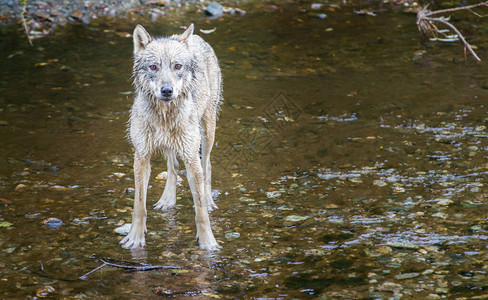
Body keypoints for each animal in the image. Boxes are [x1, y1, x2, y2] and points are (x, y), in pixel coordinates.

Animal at [120, 23, 223, 251]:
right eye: (153, 67)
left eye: (177, 66)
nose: (167, 90)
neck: (164, 116)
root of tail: (197, 37)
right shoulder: (141, 157)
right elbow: (139, 206)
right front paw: (135, 237)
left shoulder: (192, 158)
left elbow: (200, 212)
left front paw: (208, 242)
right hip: (171, 146)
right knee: (173, 166)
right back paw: (167, 200)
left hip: (207, 132)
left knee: (208, 165)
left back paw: (209, 200)